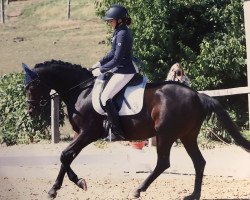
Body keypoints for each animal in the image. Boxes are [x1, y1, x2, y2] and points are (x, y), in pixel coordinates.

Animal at [23, 59, 250, 200]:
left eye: (32, 85)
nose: (30, 110)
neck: (81, 91)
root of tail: (197, 95)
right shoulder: (80, 134)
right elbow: (66, 157)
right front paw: (60, 187)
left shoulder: (89, 133)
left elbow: (65, 155)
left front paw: (74, 183)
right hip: (187, 136)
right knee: (199, 162)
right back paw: (193, 195)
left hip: (166, 134)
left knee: (163, 163)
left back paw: (138, 189)